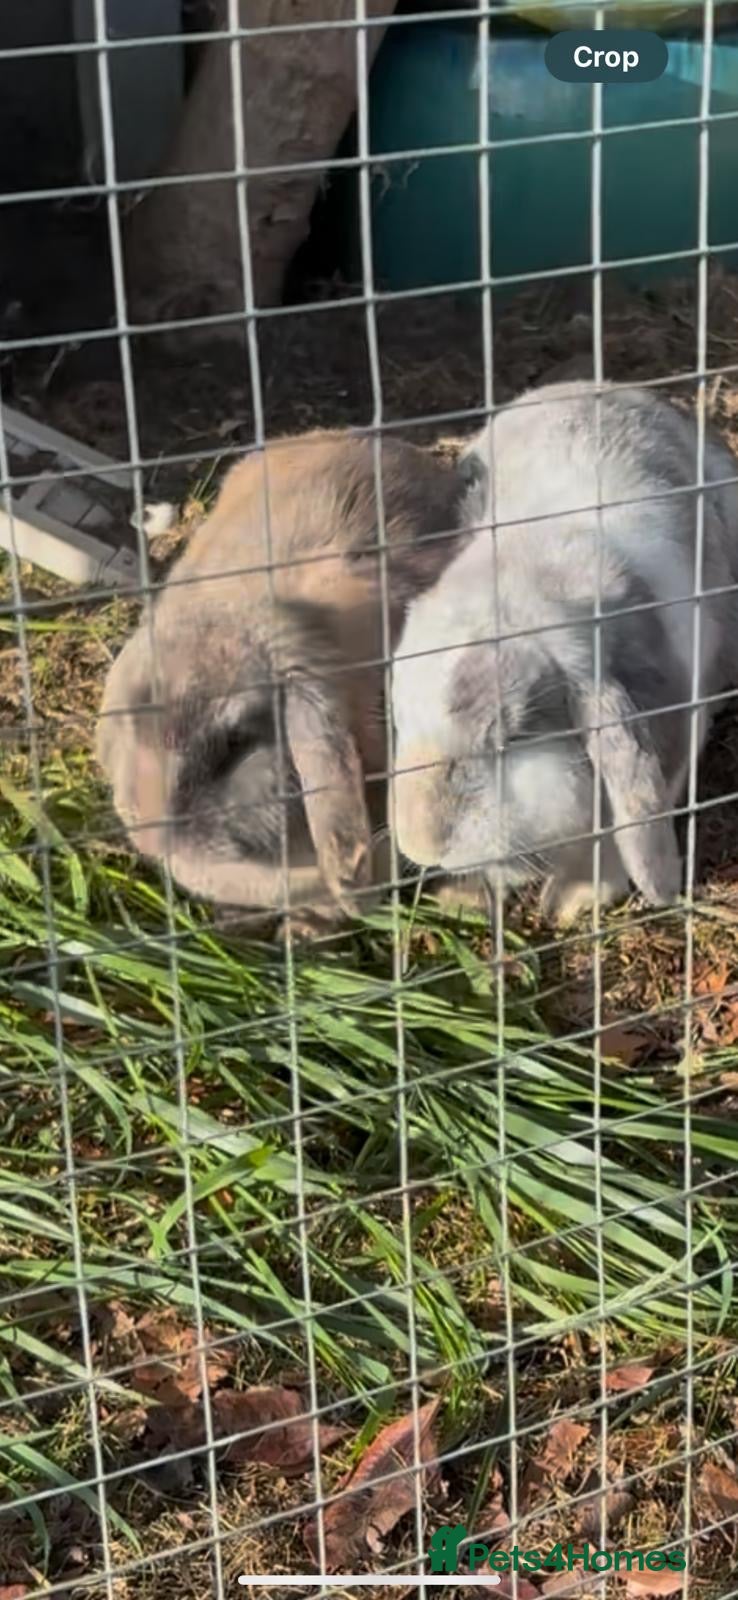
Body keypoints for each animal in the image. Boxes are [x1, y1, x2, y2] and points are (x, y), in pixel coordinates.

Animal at [391, 381, 738, 924]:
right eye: (399, 719)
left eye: (512, 740)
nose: (422, 844)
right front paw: (465, 896)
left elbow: (615, 835)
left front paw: (574, 901)